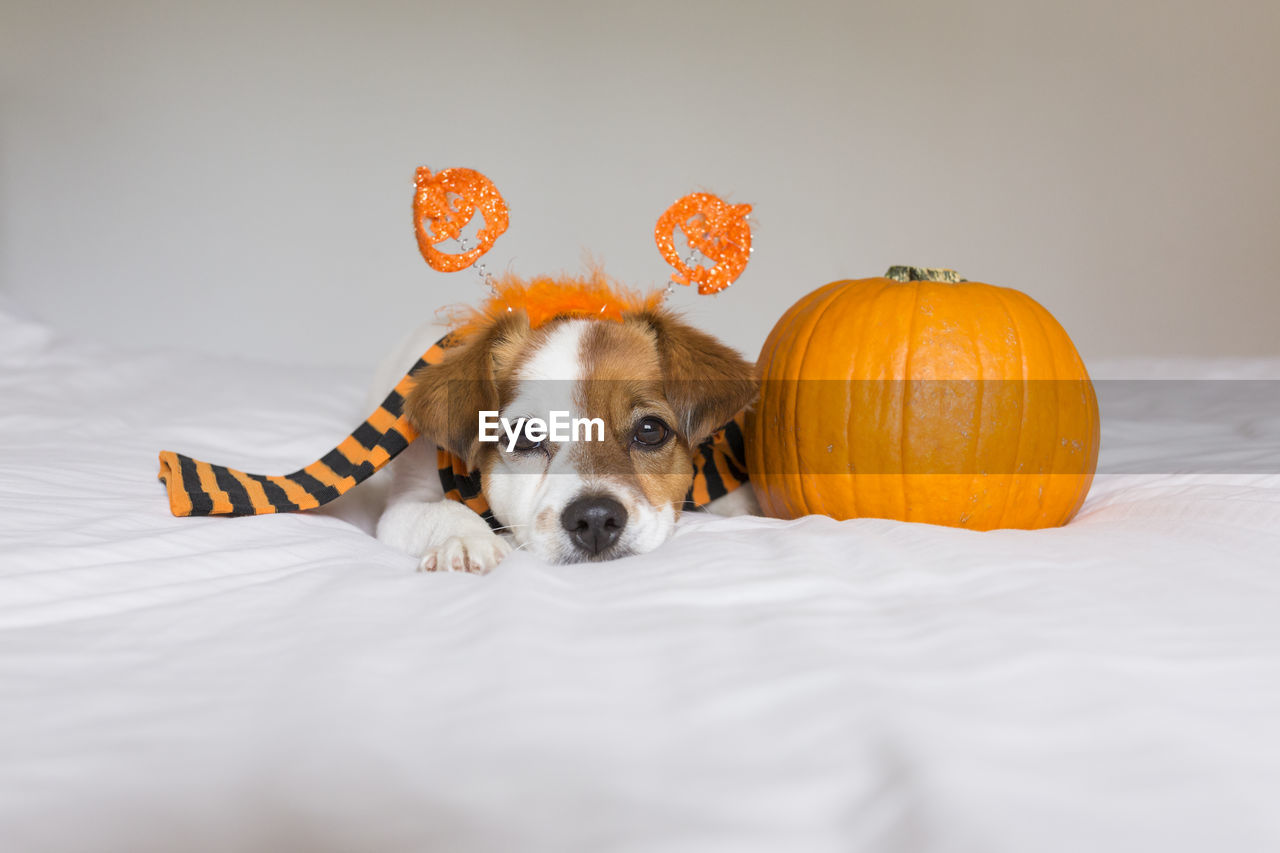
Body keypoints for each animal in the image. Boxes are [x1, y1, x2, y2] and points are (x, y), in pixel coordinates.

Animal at [366, 306, 752, 571]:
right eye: (524, 437)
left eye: (650, 430)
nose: (595, 519)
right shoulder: (407, 501)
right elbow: (440, 509)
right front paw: (466, 538)